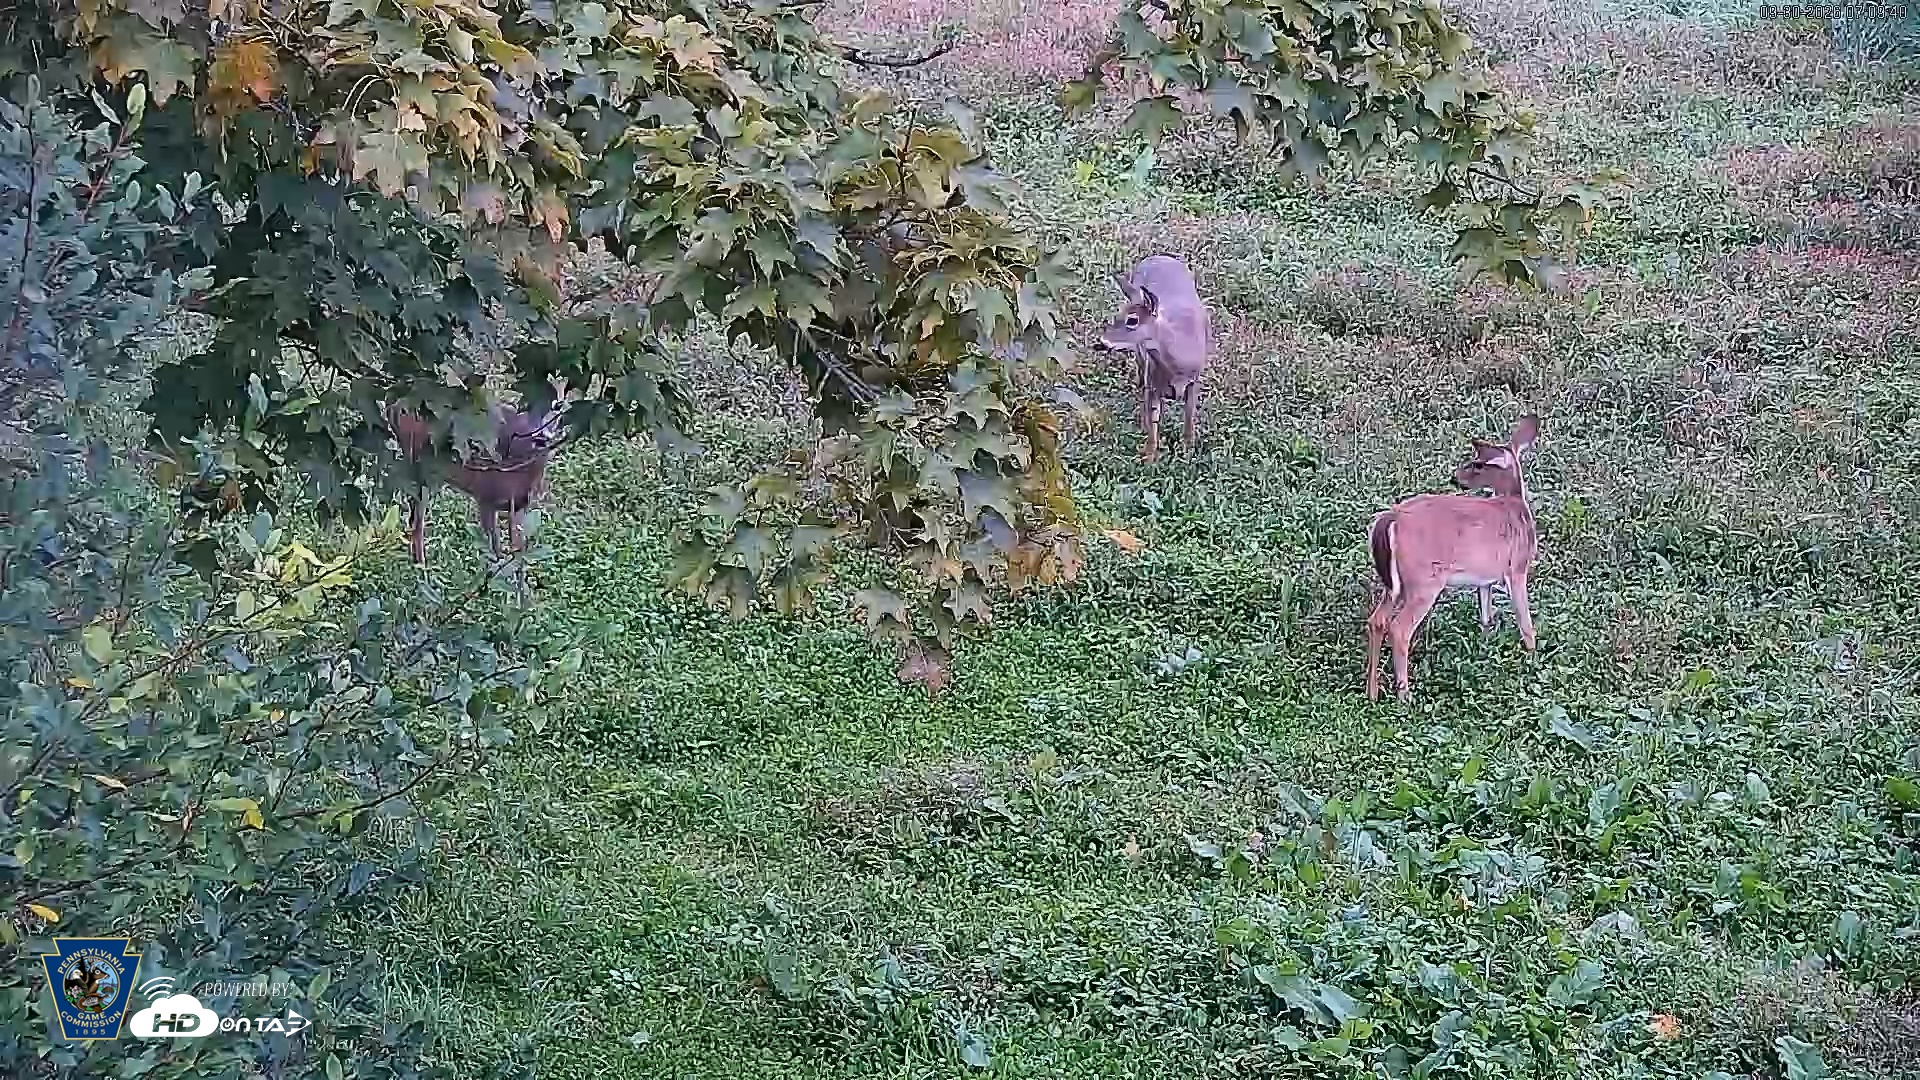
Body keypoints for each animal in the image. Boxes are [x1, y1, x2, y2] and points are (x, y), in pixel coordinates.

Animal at [386, 400, 560, 565]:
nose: (542, 437)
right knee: (417, 520)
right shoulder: (486, 496)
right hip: (419, 466)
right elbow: (492, 549)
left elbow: (518, 552)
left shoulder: (519, 506)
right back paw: (421, 566)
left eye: (557, 406)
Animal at [1095, 255, 1212, 463]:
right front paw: (1149, 457)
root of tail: (1157, 257)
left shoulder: (1194, 382)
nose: (1101, 342)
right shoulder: (1153, 381)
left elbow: (1189, 420)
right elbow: (1153, 421)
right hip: (1142, 361)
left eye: (1132, 320)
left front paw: (1187, 452)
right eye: (1117, 315)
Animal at [1364, 415, 1542, 703]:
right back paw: (1404, 696)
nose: (1455, 477)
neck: (1514, 505)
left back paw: (1372, 692)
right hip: (1425, 581)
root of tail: (1391, 518)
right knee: (1399, 629)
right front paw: (1532, 655)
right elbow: (1525, 620)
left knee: (1376, 620)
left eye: (1478, 463)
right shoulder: (1517, 567)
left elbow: (1486, 617)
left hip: (1394, 584)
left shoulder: (1485, 579)